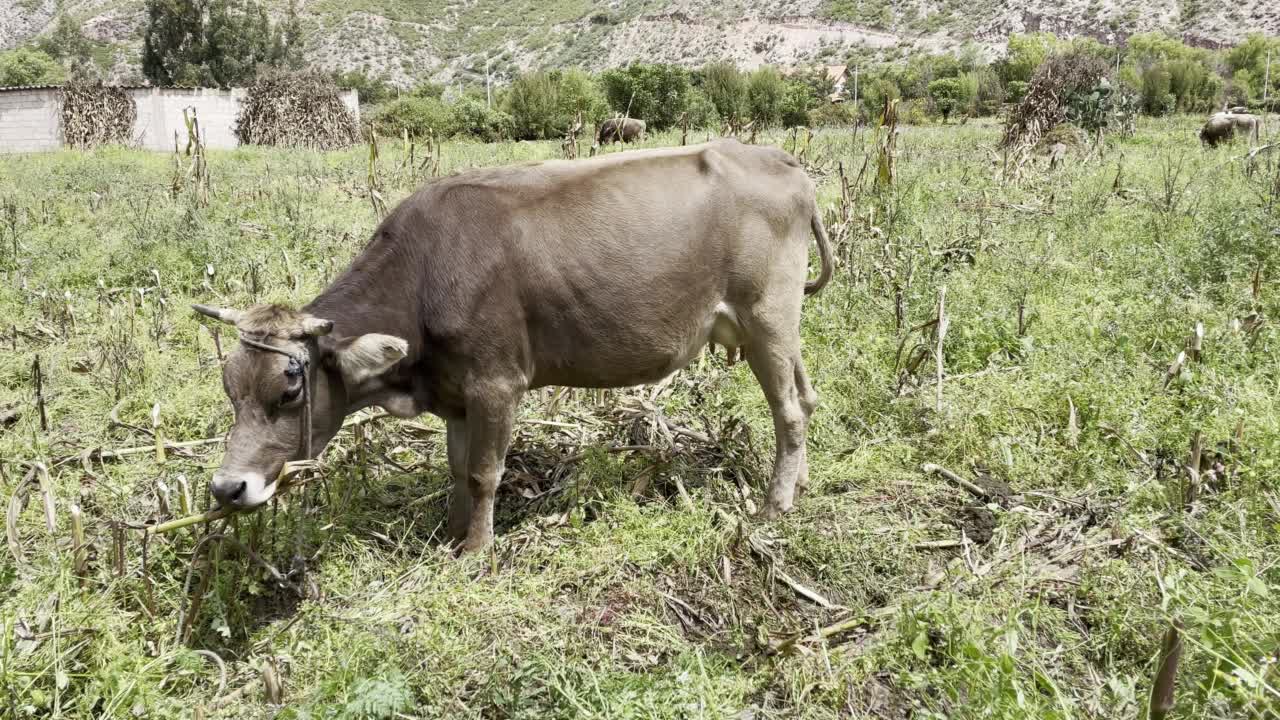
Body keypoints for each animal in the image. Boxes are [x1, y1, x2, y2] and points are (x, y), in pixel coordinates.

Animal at [186, 141, 829, 556]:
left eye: (289, 389)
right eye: (230, 388)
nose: (226, 488)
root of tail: (781, 160)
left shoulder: (496, 382)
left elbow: (483, 472)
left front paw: (476, 552)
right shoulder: (455, 392)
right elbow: (455, 467)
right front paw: (449, 535)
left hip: (768, 314)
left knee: (788, 411)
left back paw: (774, 506)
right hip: (777, 325)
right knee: (806, 397)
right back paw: (797, 487)